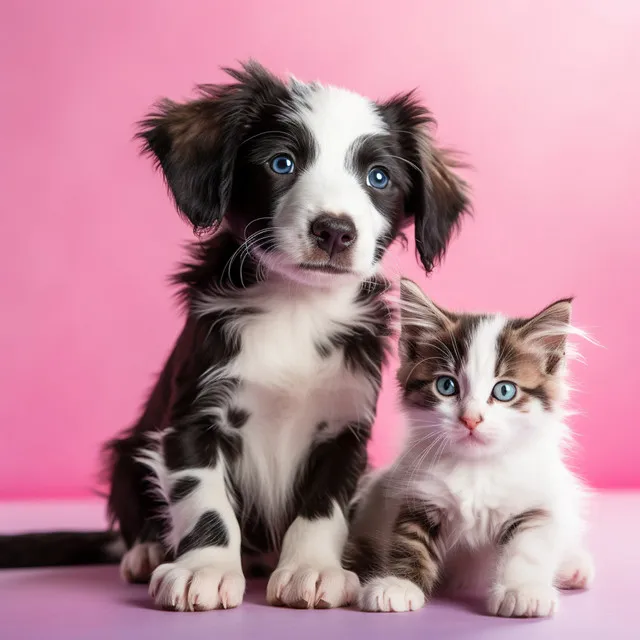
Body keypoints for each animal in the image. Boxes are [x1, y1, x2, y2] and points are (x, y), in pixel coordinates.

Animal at [0, 62, 470, 612]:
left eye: (379, 178)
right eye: (282, 163)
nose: (334, 230)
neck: (296, 307)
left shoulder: (345, 428)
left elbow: (323, 506)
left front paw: (312, 567)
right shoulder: (193, 418)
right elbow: (204, 501)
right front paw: (203, 568)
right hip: (126, 452)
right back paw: (146, 552)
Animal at [344, 278, 596, 616]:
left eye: (504, 391)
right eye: (446, 386)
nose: (470, 419)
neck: (477, 468)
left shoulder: (534, 505)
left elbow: (528, 548)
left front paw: (522, 591)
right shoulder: (418, 494)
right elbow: (409, 539)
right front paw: (397, 584)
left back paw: (573, 567)